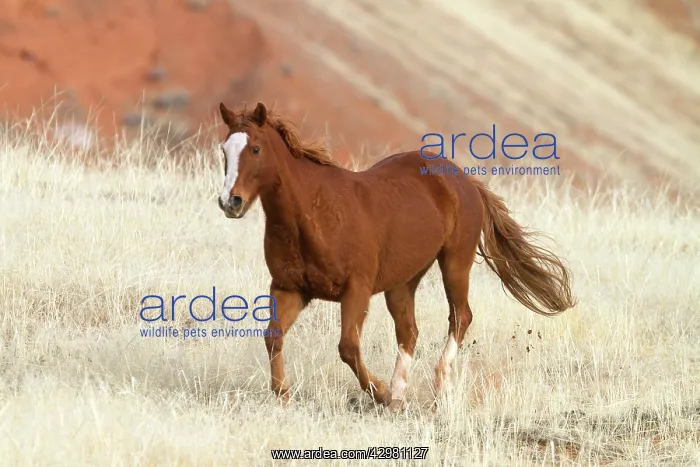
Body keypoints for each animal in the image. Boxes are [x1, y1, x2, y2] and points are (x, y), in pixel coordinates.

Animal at [216, 101, 576, 411]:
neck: (314, 213)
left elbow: (348, 347)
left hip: (454, 263)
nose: (230, 202)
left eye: (255, 149)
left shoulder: (356, 290)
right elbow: (273, 337)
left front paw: (379, 391)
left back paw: (438, 388)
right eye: (224, 149)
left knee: (460, 317)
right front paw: (284, 396)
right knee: (409, 331)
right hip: (402, 283)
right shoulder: (289, 289)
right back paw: (399, 398)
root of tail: (465, 181)